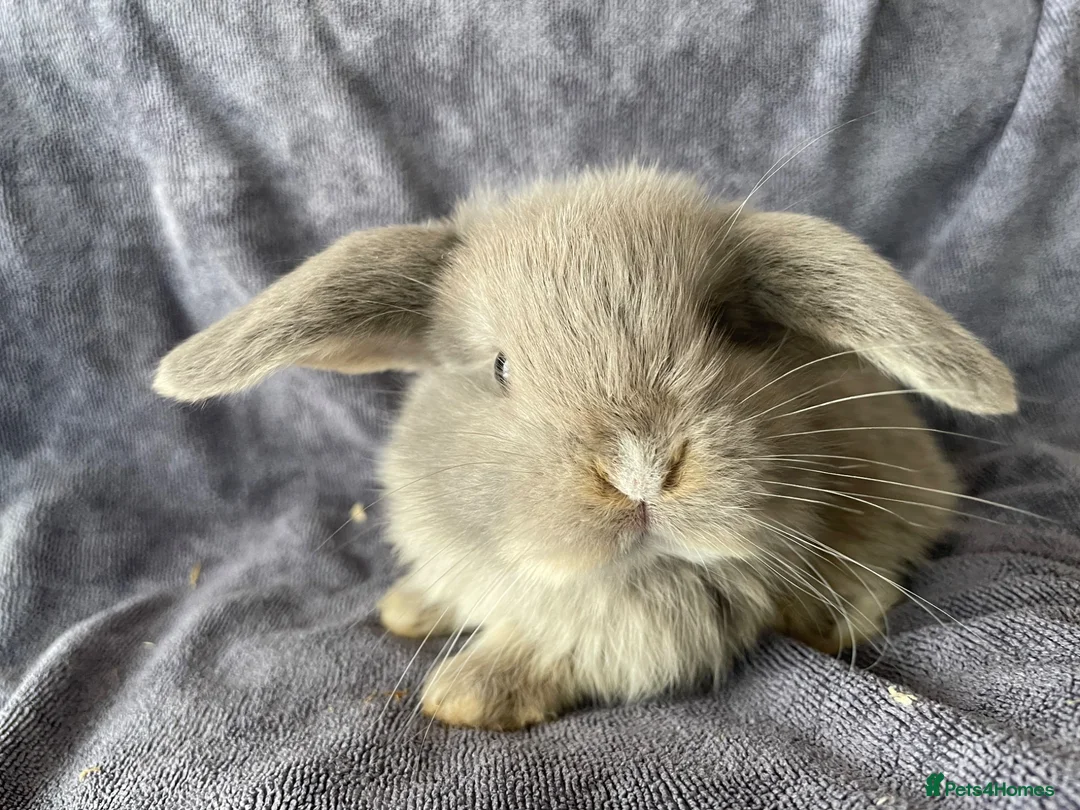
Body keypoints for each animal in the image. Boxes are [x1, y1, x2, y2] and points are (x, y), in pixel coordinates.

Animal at [152, 166, 1017, 731]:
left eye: (728, 332)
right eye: (500, 367)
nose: (640, 467)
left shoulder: (664, 623)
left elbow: (561, 648)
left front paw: (464, 693)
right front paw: (410, 608)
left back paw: (829, 619)